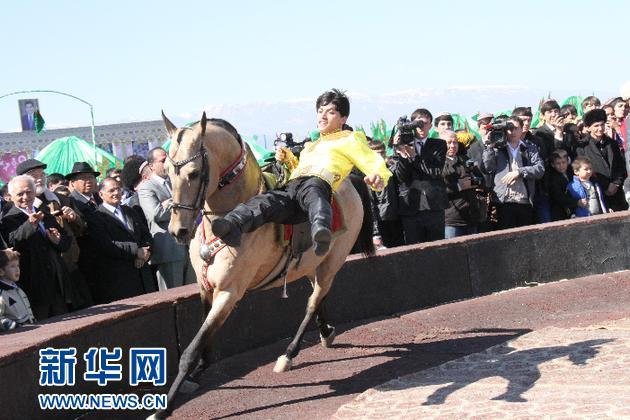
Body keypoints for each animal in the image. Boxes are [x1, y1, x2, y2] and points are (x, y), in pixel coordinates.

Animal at [156, 111, 376, 416]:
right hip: (312, 263)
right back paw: (326, 332)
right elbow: (204, 336)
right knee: (319, 297)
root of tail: (351, 183)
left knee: (313, 301)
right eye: (166, 171)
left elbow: (191, 349)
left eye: (194, 173)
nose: (178, 230)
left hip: (333, 261)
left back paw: (289, 354)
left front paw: (164, 407)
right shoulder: (205, 287)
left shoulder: (229, 292)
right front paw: (199, 370)